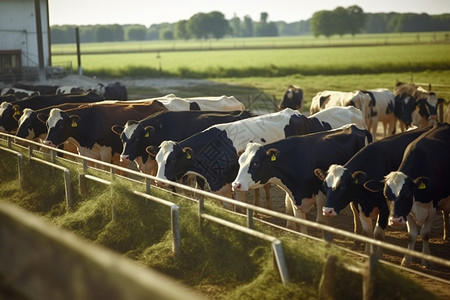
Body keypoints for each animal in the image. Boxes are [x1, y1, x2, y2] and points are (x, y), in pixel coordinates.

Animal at [230, 125, 370, 234]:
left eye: (255, 163)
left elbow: (321, 222)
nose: (236, 185)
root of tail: (355, 128)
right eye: (240, 162)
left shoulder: (322, 195)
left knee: (354, 206)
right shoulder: (295, 198)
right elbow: (302, 223)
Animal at [314, 124, 438, 253]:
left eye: (342, 186)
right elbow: (368, 232)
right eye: (324, 186)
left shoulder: (385, 208)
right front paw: (368, 253)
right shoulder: (360, 206)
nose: (327, 211)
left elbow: (378, 234)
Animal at [376, 123, 450, 266]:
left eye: (406, 195)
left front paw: (426, 260)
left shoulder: (432, 207)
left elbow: (425, 234)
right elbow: (412, 235)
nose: (395, 221)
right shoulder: (408, 211)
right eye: (386, 196)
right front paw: (406, 259)